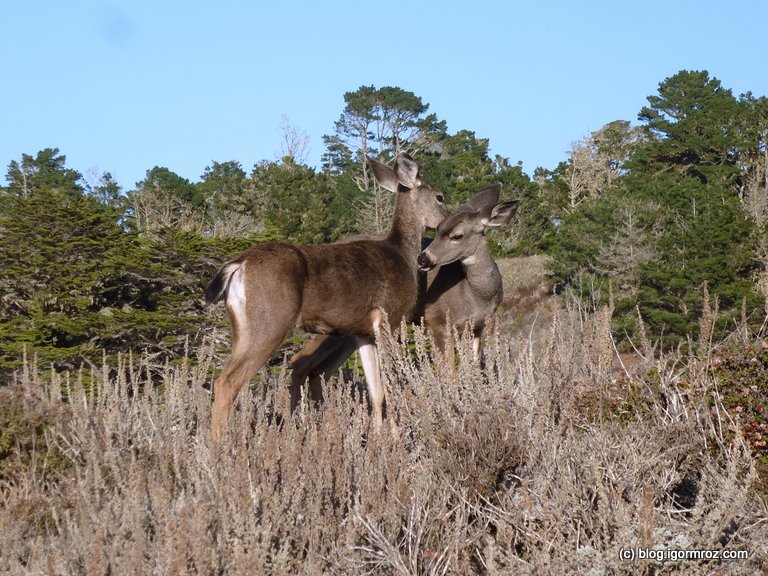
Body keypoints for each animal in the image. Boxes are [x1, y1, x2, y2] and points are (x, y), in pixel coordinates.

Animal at [204, 154, 450, 440]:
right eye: (439, 197)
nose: (446, 222)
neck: (402, 254)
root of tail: (238, 265)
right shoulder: (390, 318)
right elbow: (391, 384)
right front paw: (396, 435)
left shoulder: (363, 332)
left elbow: (376, 391)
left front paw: (377, 438)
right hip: (269, 321)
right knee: (228, 382)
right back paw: (221, 445)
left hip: (243, 328)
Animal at [292, 183, 520, 400]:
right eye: (437, 229)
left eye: (457, 236)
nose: (423, 259)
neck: (475, 295)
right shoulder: (437, 319)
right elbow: (450, 374)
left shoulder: (478, 326)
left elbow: (472, 370)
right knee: (301, 361)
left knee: (320, 370)